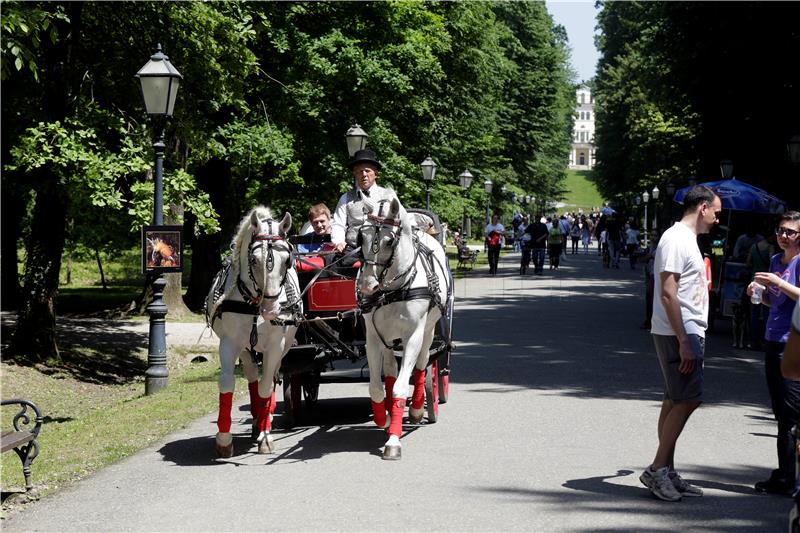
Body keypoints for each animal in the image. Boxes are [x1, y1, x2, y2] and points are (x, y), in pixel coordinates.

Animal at [203, 206, 300, 456]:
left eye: (287, 260)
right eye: (254, 260)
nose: (271, 310)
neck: (254, 304)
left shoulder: (276, 345)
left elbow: (266, 387)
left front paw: (266, 436)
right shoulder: (229, 342)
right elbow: (227, 384)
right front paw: (224, 439)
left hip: (283, 348)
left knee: (272, 378)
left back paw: (265, 420)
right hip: (247, 349)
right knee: (252, 376)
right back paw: (257, 420)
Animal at [356, 197, 450, 460]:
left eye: (389, 241)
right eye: (360, 237)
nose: (367, 286)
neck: (392, 290)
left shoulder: (413, 336)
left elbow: (400, 387)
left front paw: (393, 441)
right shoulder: (373, 339)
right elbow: (377, 388)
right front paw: (385, 419)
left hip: (428, 331)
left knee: (422, 365)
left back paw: (418, 408)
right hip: (388, 339)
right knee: (389, 371)